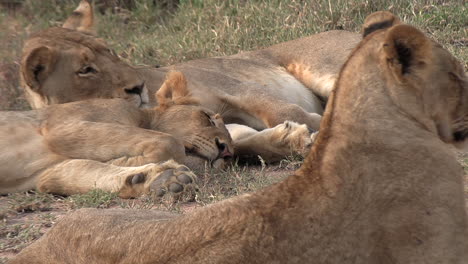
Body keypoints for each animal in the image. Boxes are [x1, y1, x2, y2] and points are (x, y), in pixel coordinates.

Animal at [10, 13, 464, 264]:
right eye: (85, 68)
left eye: (110, 51)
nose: (136, 86)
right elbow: (245, 139)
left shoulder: (229, 87)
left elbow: (287, 113)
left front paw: (314, 135)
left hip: (324, 64)